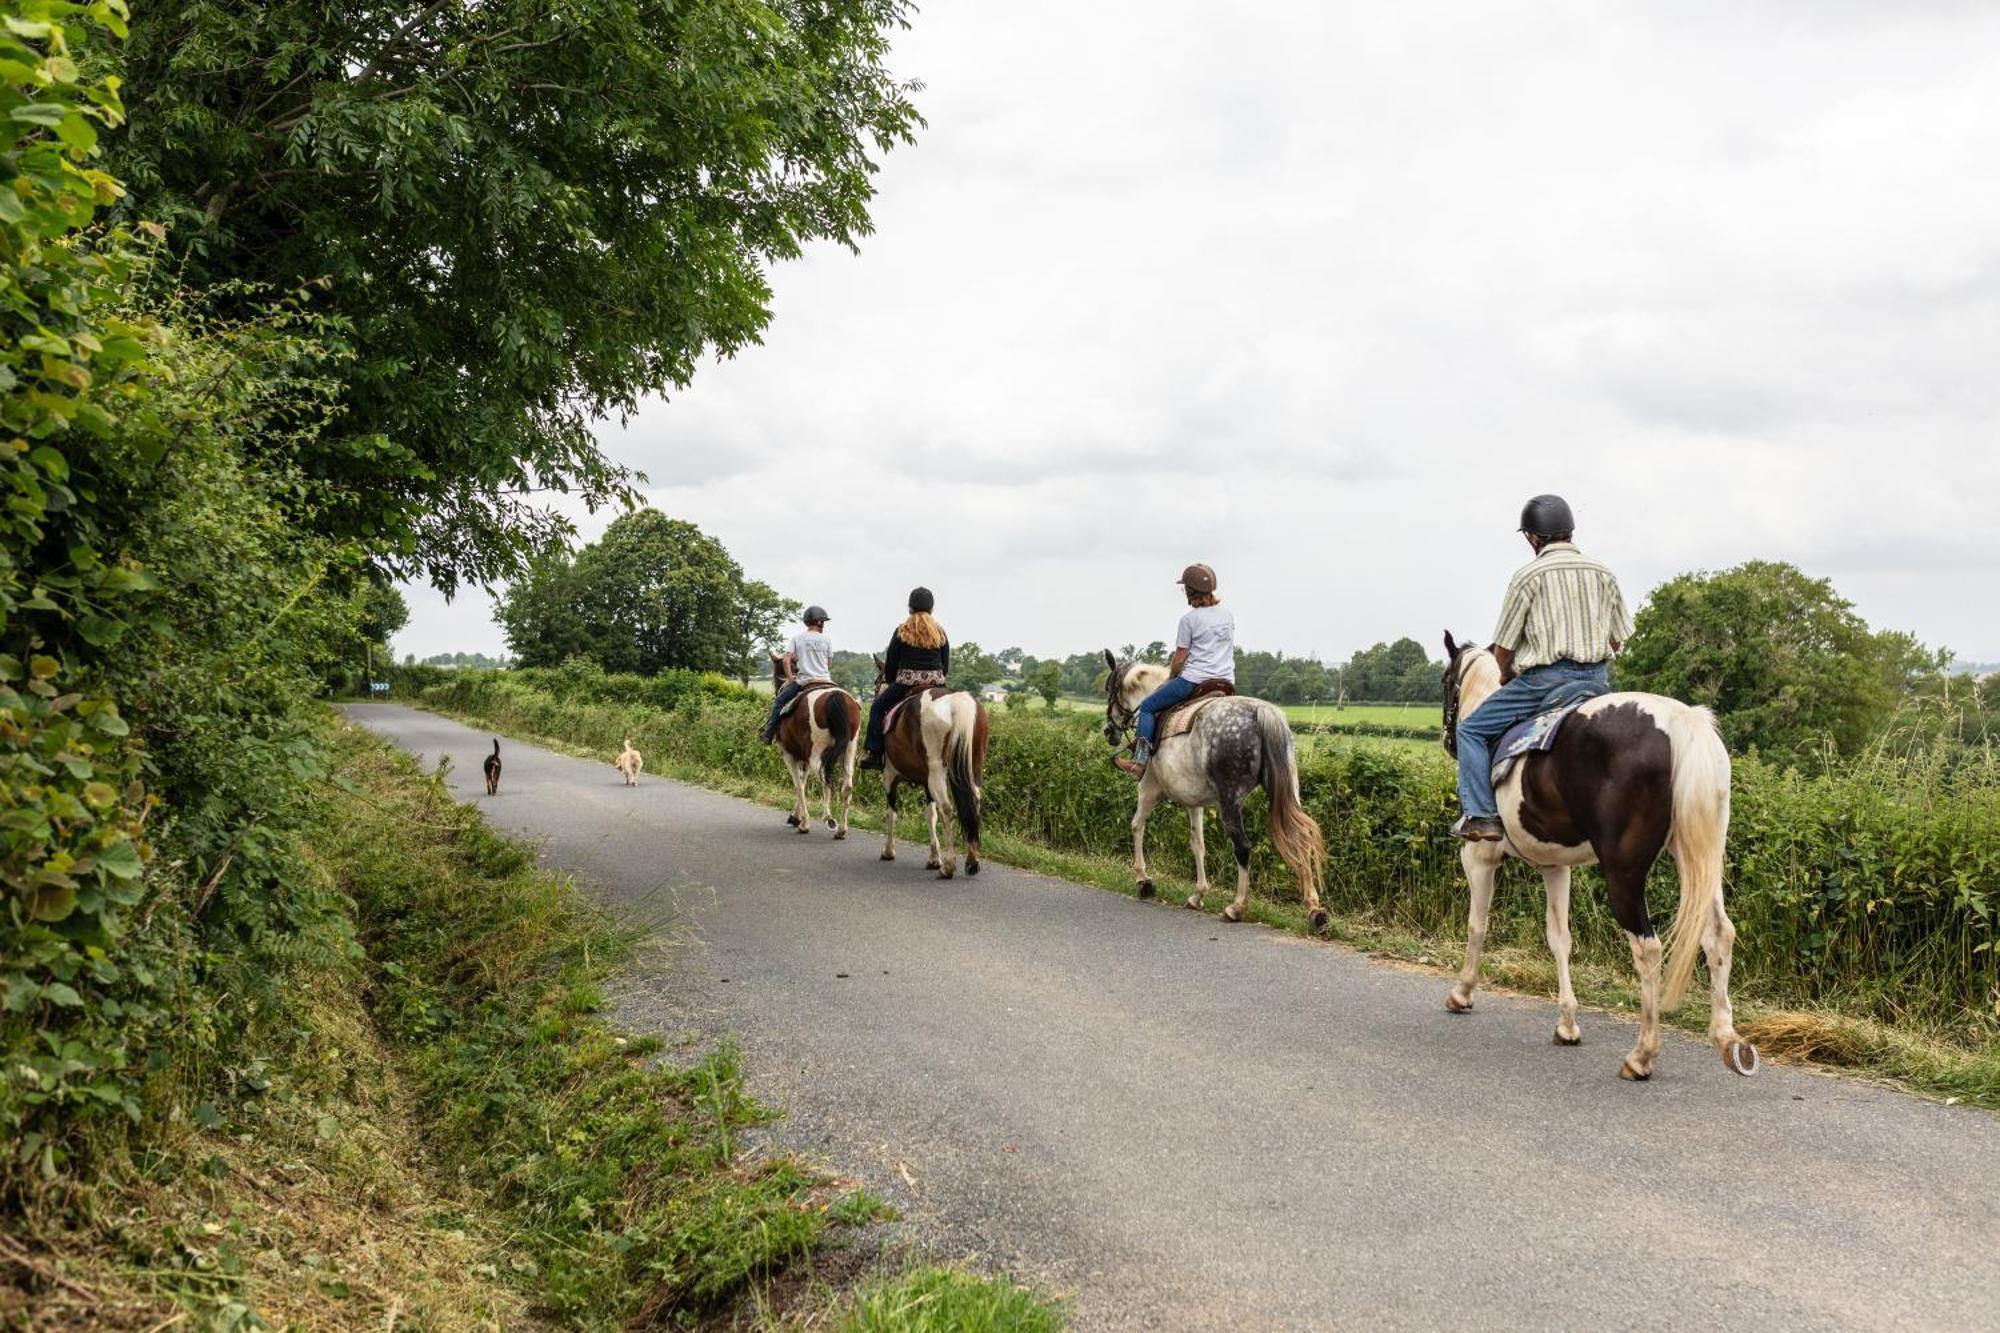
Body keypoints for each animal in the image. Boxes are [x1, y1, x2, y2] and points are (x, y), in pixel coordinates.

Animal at [764, 652, 860, 832]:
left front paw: (802, 821)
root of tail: (835, 696)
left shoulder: (789, 754)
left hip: (817, 752)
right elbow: (803, 780)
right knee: (847, 785)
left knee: (824, 776)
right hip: (850, 748)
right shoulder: (805, 757)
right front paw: (796, 817)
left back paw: (828, 818)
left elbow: (798, 785)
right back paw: (842, 830)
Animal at [872, 652, 988, 876]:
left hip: (936, 771)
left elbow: (891, 813)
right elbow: (930, 815)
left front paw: (888, 851)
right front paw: (934, 858)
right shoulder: (926, 782)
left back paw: (949, 866)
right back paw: (972, 861)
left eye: (876, 683)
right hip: (973, 766)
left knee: (947, 808)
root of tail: (956, 701)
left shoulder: (889, 775)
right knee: (974, 802)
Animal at [1096, 652, 1328, 924]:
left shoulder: (1149, 787)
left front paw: (1143, 881)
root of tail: (1262, 712)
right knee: (1301, 839)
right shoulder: (1193, 802)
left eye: (1109, 688)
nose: (1108, 730)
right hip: (1289, 792)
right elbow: (1198, 844)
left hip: (1230, 799)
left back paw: (1236, 907)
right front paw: (1197, 895)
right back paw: (1314, 910)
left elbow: (1137, 825)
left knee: (1242, 846)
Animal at [1448, 632, 1760, 1080]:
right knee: (1718, 934)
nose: (1449, 740)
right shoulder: (1555, 866)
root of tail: (1683, 724)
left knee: (1648, 949)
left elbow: (1477, 925)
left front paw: (1462, 992)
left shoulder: (1478, 856)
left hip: (1624, 872)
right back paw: (1727, 1039)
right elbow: (1559, 938)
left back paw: (1642, 1054)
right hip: (1701, 859)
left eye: (1446, 684)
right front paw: (1567, 1023)